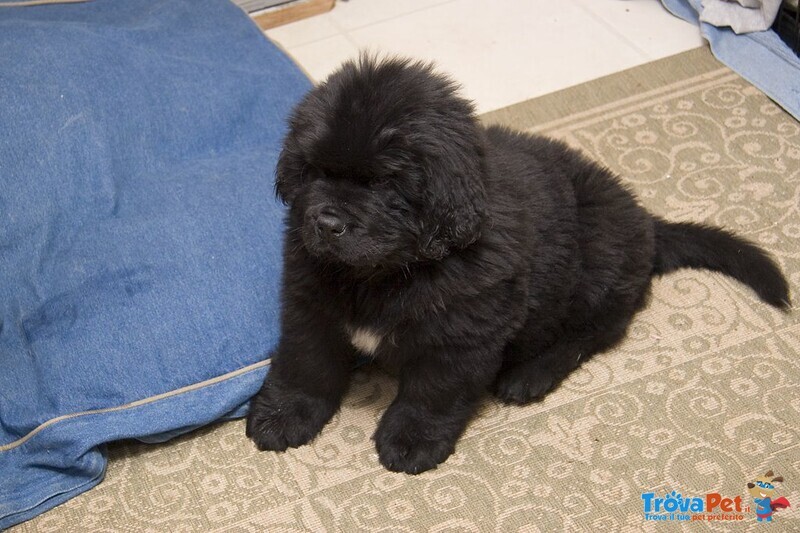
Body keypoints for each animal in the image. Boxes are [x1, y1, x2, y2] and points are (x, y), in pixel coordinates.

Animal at [247, 55, 792, 474]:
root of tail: (647, 221)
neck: (388, 272)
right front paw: (284, 415)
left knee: (594, 333)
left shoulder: (462, 336)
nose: (325, 222)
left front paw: (411, 440)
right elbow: (306, 364)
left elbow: (432, 392)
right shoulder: (310, 306)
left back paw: (529, 376)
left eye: (383, 182)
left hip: (597, 269)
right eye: (314, 170)